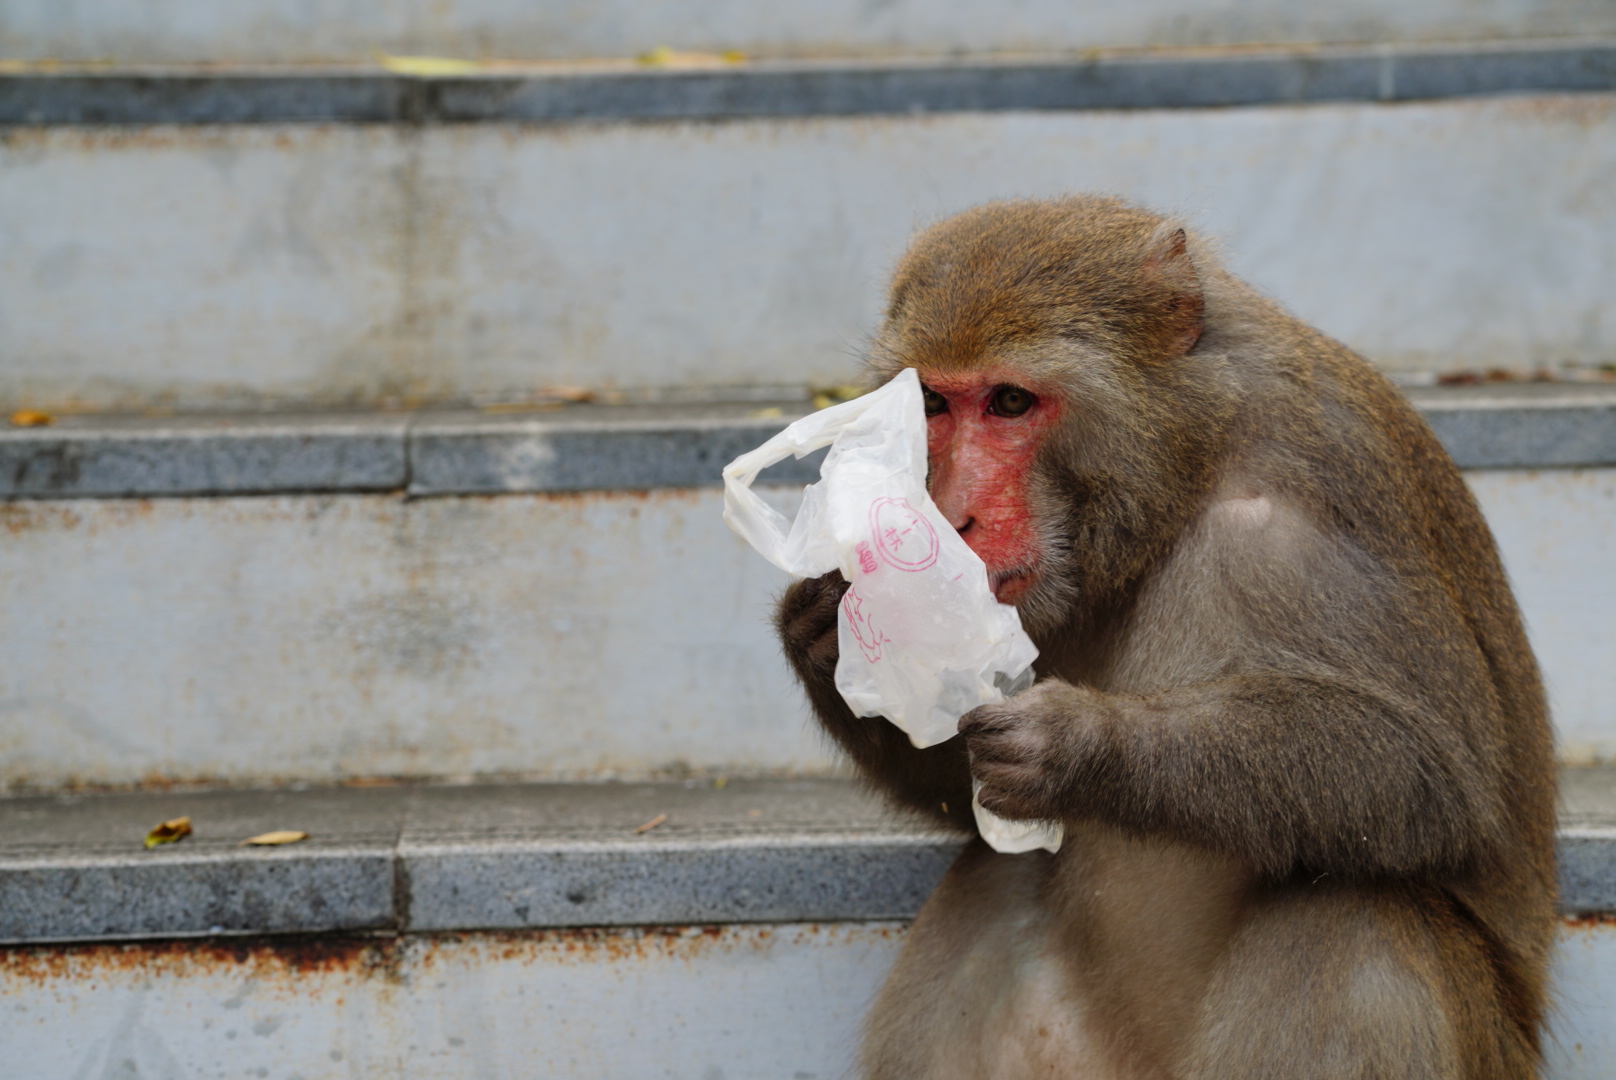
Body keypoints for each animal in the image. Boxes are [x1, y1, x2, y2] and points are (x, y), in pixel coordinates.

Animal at [775, 198, 1557, 1073]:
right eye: (935, 406)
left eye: (1009, 403)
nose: (954, 513)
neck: (1191, 462)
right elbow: (966, 789)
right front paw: (821, 629)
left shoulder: (1323, 491)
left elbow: (1429, 774)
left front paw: (1082, 745)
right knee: (997, 874)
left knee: (1354, 926)